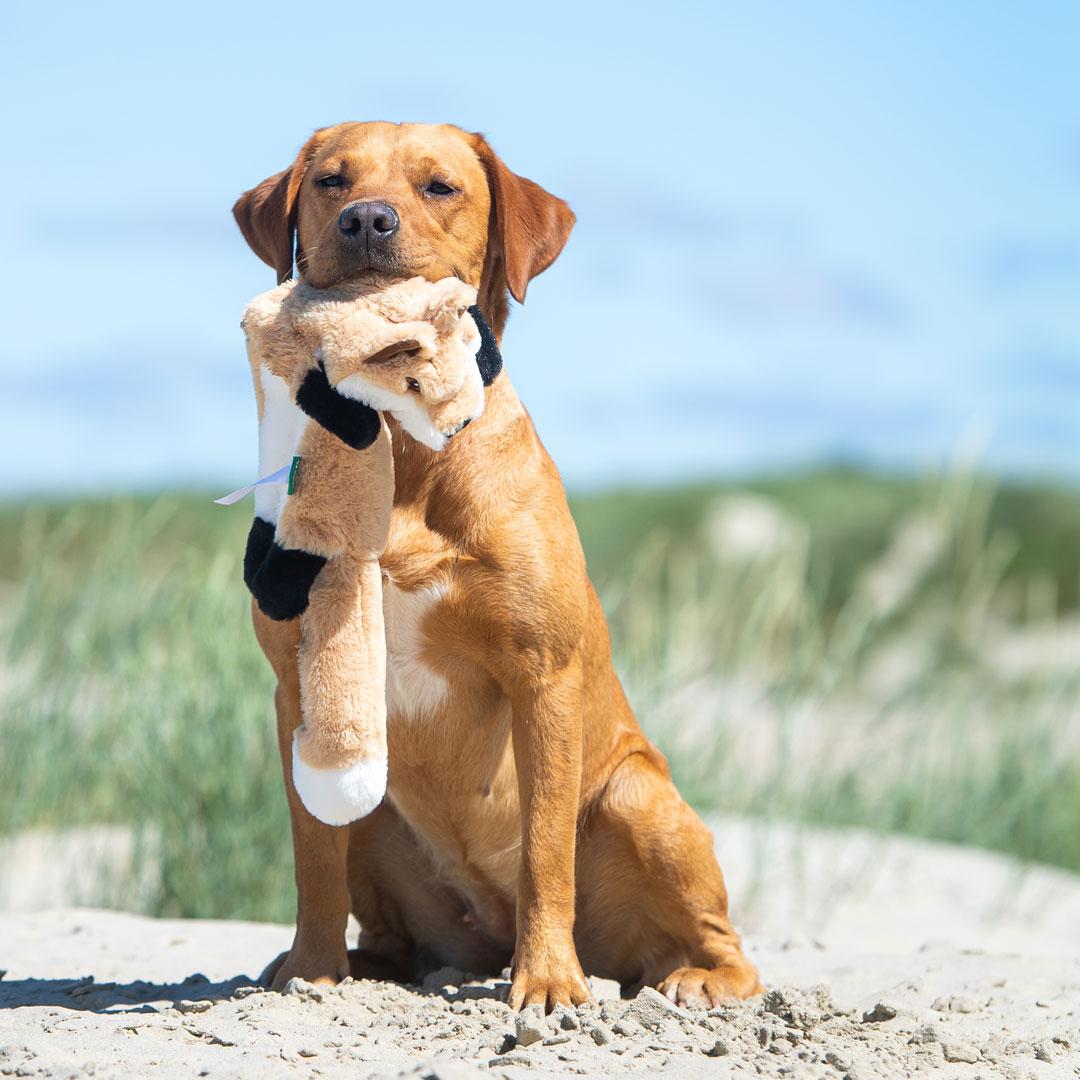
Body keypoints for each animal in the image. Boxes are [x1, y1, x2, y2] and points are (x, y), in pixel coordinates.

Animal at [235, 122, 760, 1006]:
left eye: (440, 186)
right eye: (332, 182)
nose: (366, 220)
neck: (404, 448)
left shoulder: (541, 677)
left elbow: (545, 851)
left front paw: (547, 981)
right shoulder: (298, 693)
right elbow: (314, 861)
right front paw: (310, 971)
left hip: (640, 798)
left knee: (717, 941)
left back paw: (693, 978)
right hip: (378, 814)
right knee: (378, 909)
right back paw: (360, 965)